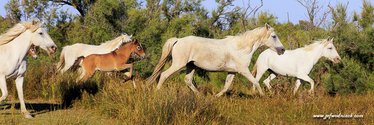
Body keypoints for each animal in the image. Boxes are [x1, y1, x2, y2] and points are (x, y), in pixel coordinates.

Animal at [145, 23, 284, 96]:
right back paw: (157, 92)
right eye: (274, 36)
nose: (282, 50)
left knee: (188, 80)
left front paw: (216, 97)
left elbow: (226, 86)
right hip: (178, 64)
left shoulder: (232, 72)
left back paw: (200, 96)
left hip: (191, 66)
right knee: (164, 75)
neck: (241, 49)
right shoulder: (243, 70)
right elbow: (256, 82)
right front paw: (264, 96)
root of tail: (178, 40)